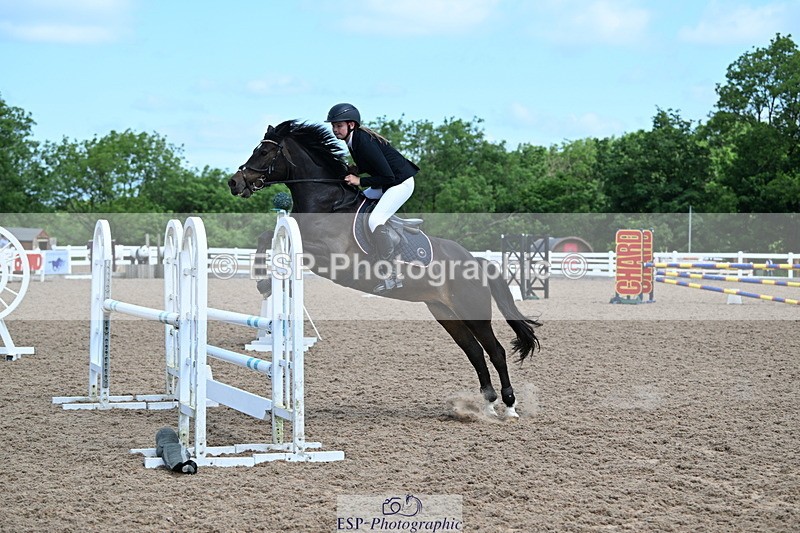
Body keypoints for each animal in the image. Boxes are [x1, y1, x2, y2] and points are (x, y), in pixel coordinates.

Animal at [228, 120, 540, 419]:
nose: (234, 182)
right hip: (445, 312)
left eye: (264, 152)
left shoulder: (326, 253)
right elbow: (265, 236)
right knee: (474, 352)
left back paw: (509, 405)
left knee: (496, 351)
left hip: (473, 312)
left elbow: (272, 240)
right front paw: (263, 282)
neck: (328, 203)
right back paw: (487, 405)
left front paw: (263, 281)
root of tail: (477, 262)